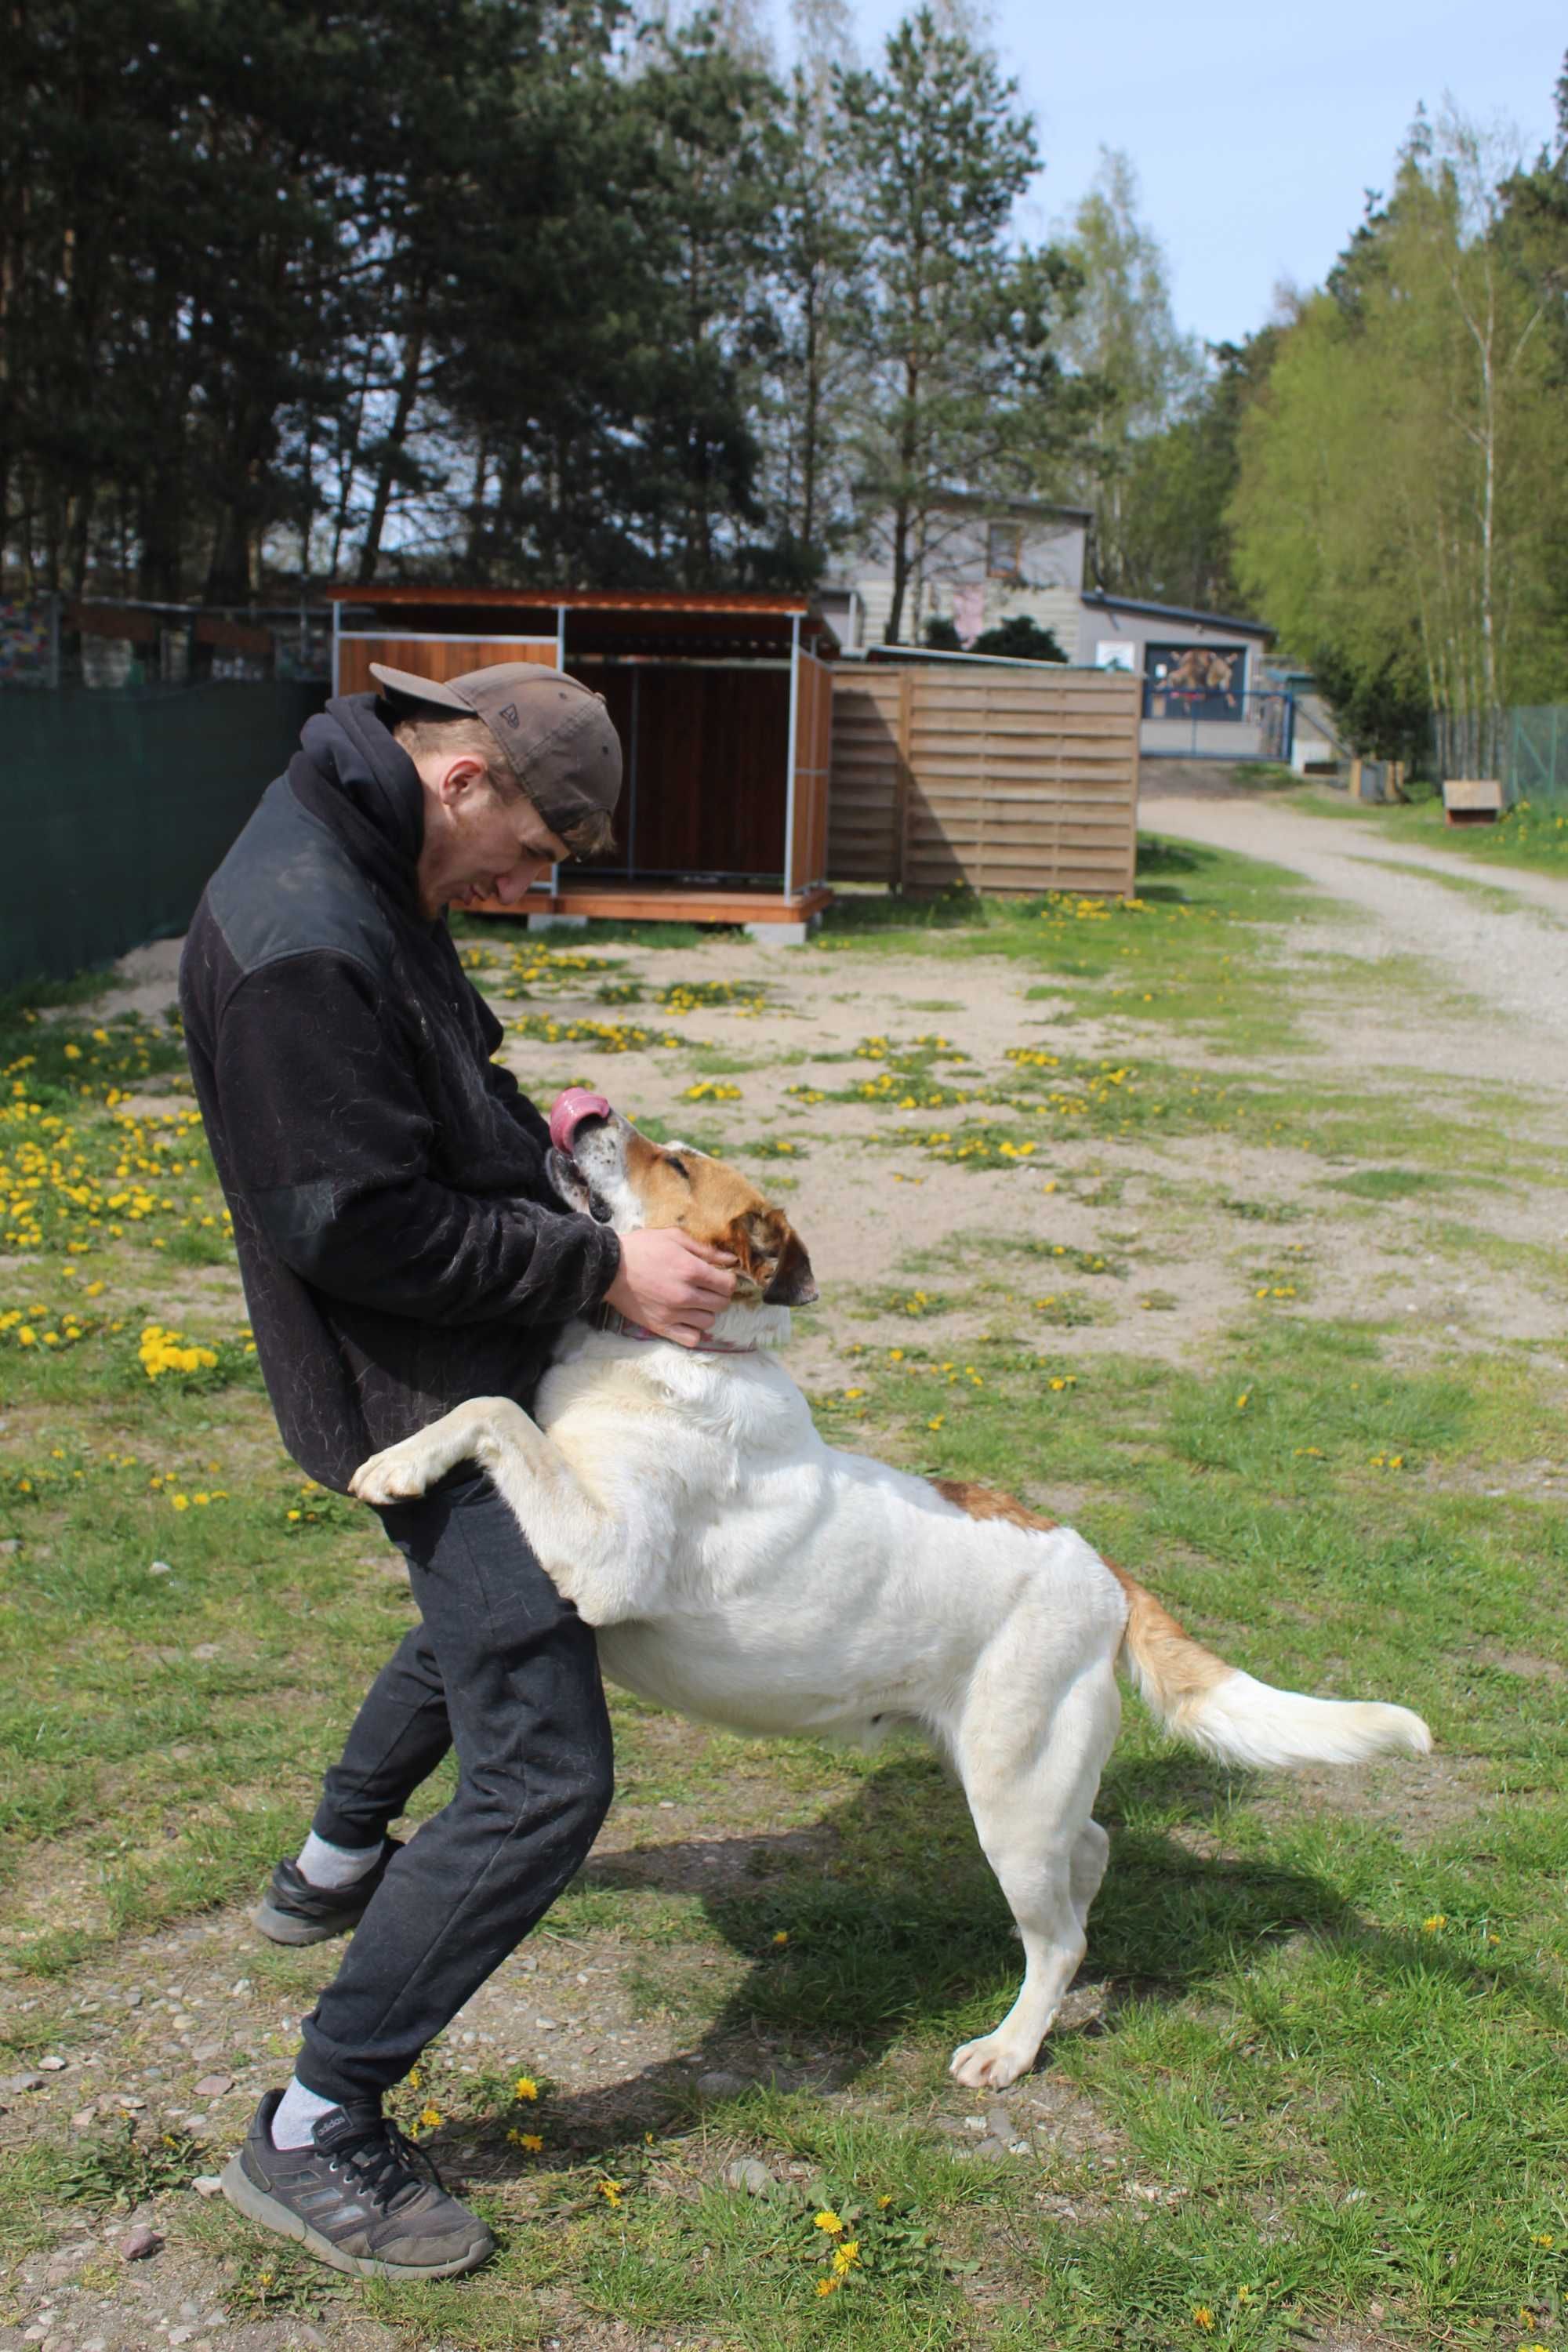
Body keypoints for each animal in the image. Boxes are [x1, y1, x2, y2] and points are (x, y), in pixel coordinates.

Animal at [354, 1091, 1439, 2089]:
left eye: (675, 1163)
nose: (587, 1111)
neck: (671, 1349)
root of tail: (1099, 1568)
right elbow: (492, 1411)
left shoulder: (604, 1560)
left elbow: (492, 1409)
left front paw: (394, 1464)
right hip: (1025, 1787)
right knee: (1088, 1857)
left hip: (1010, 1797)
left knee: (1058, 1936)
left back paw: (1009, 2049)